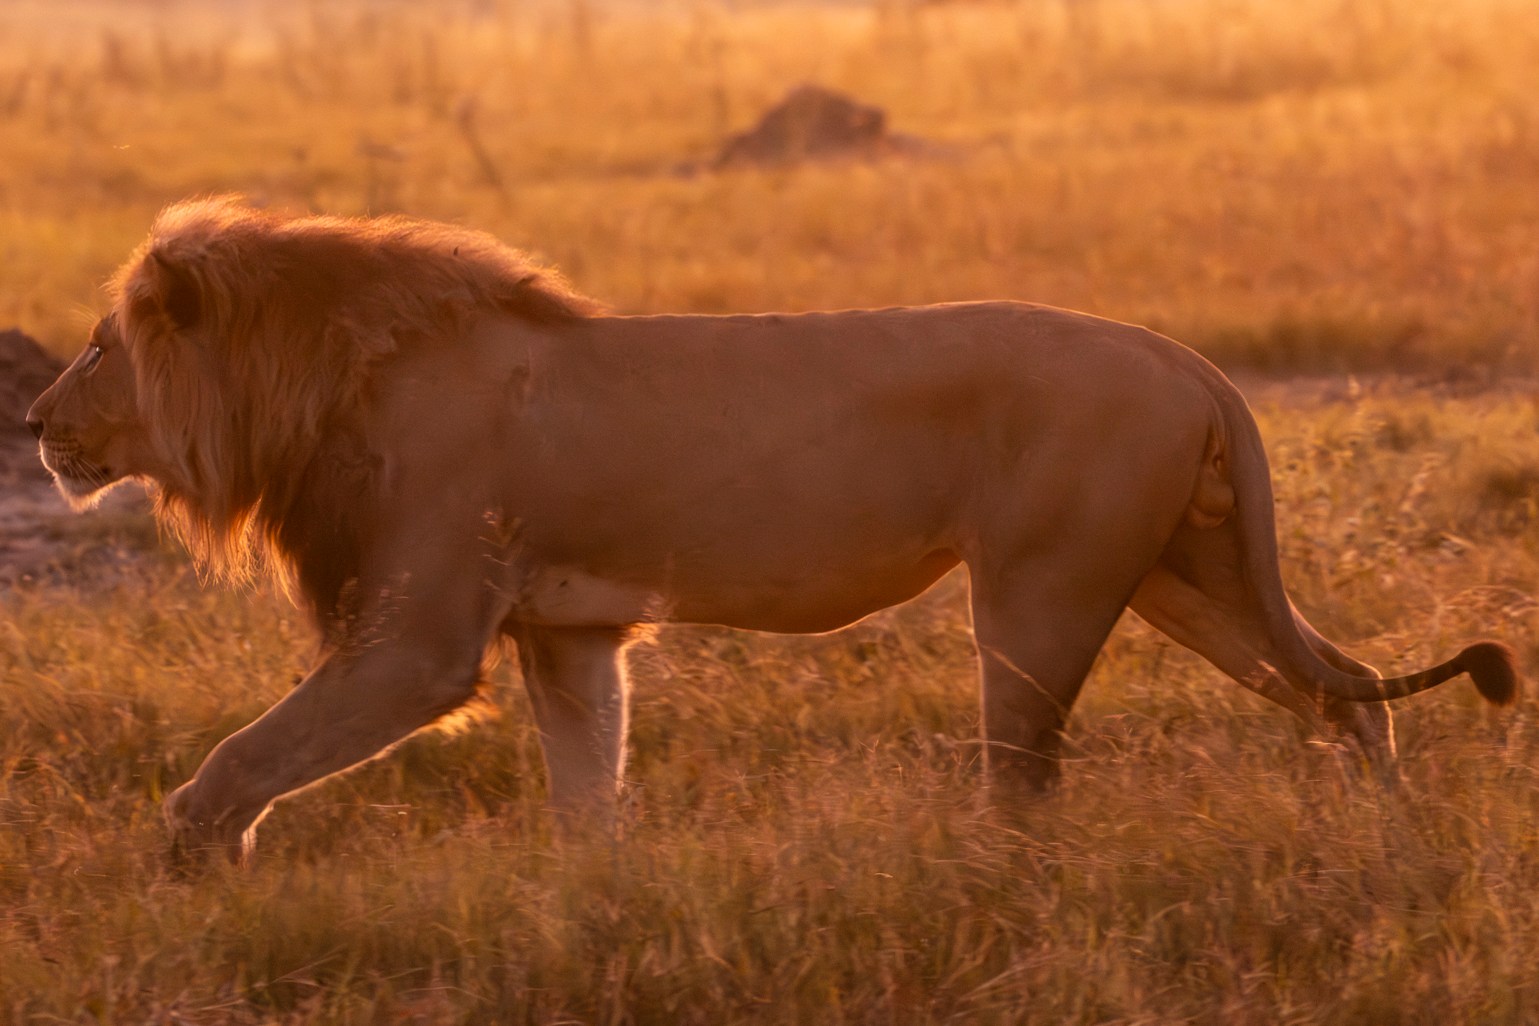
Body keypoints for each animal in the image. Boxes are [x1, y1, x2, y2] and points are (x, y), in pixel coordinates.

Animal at [26, 198, 1518, 863]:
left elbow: (243, 752)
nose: (35, 420)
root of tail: (1187, 358)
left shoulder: (417, 642)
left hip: (1039, 592)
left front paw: (191, 863)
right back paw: (1389, 843)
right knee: (1345, 693)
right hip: (1185, 576)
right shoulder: (568, 635)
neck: (331, 381)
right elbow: (587, 795)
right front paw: (592, 911)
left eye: (99, 348)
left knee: (1026, 774)